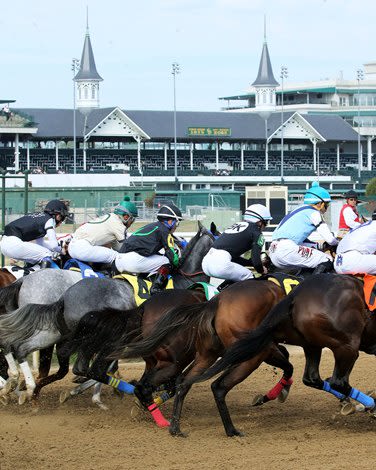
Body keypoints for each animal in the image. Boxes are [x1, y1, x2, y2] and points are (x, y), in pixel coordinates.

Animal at [117, 276, 296, 436]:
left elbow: (287, 360)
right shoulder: (264, 347)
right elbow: (288, 364)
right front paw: (277, 393)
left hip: (199, 356)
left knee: (169, 383)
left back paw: (171, 424)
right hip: (181, 361)